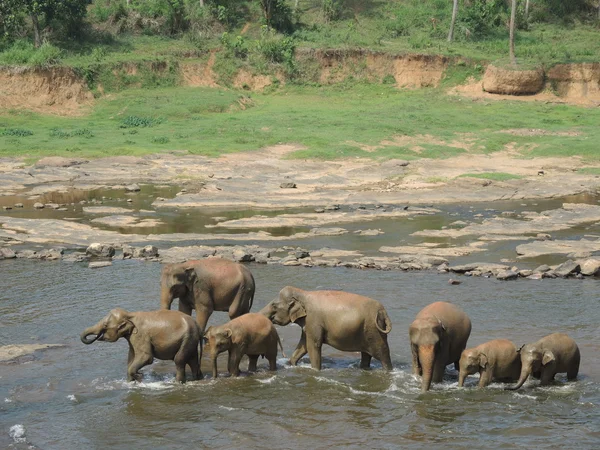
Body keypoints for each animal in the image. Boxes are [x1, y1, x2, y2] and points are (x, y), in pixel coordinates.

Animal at [258, 286, 394, 370]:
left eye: (274, 305)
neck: (302, 293)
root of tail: (383, 312)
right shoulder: (308, 323)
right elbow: (304, 345)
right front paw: (290, 364)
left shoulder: (313, 320)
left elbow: (313, 345)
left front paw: (315, 370)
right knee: (366, 355)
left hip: (375, 331)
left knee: (383, 355)